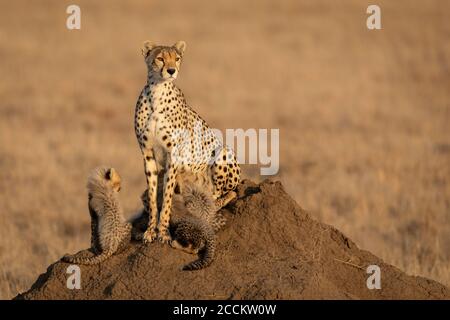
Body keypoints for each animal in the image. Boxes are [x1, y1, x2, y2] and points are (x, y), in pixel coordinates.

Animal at [134, 41, 241, 244]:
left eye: (176, 58)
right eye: (160, 58)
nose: (171, 70)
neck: (157, 92)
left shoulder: (173, 155)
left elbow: (167, 198)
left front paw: (164, 232)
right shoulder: (147, 154)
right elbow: (153, 196)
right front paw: (151, 230)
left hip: (222, 152)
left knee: (225, 193)